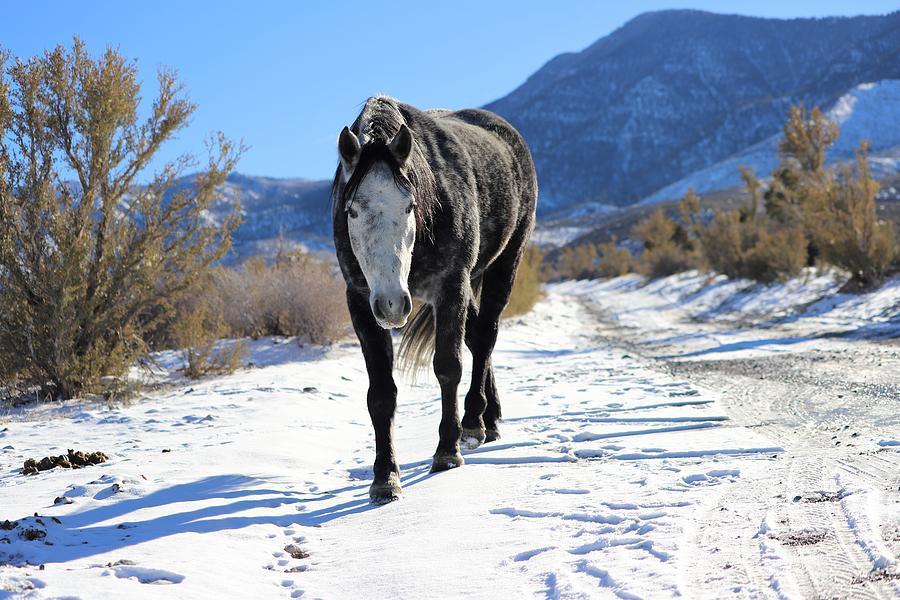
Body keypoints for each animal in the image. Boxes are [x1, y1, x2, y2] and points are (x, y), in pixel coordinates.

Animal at [334, 96, 536, 504]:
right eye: (352, 211)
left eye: (410, 206)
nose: (392, 305)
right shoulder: (361, 301)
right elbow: (381, 393)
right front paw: (385, 478)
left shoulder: (450, 287)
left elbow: (448, 367)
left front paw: (447, 451)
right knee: (477, 338)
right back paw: (490, 418)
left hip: (504, 264)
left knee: (486, 337)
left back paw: (474, 423)